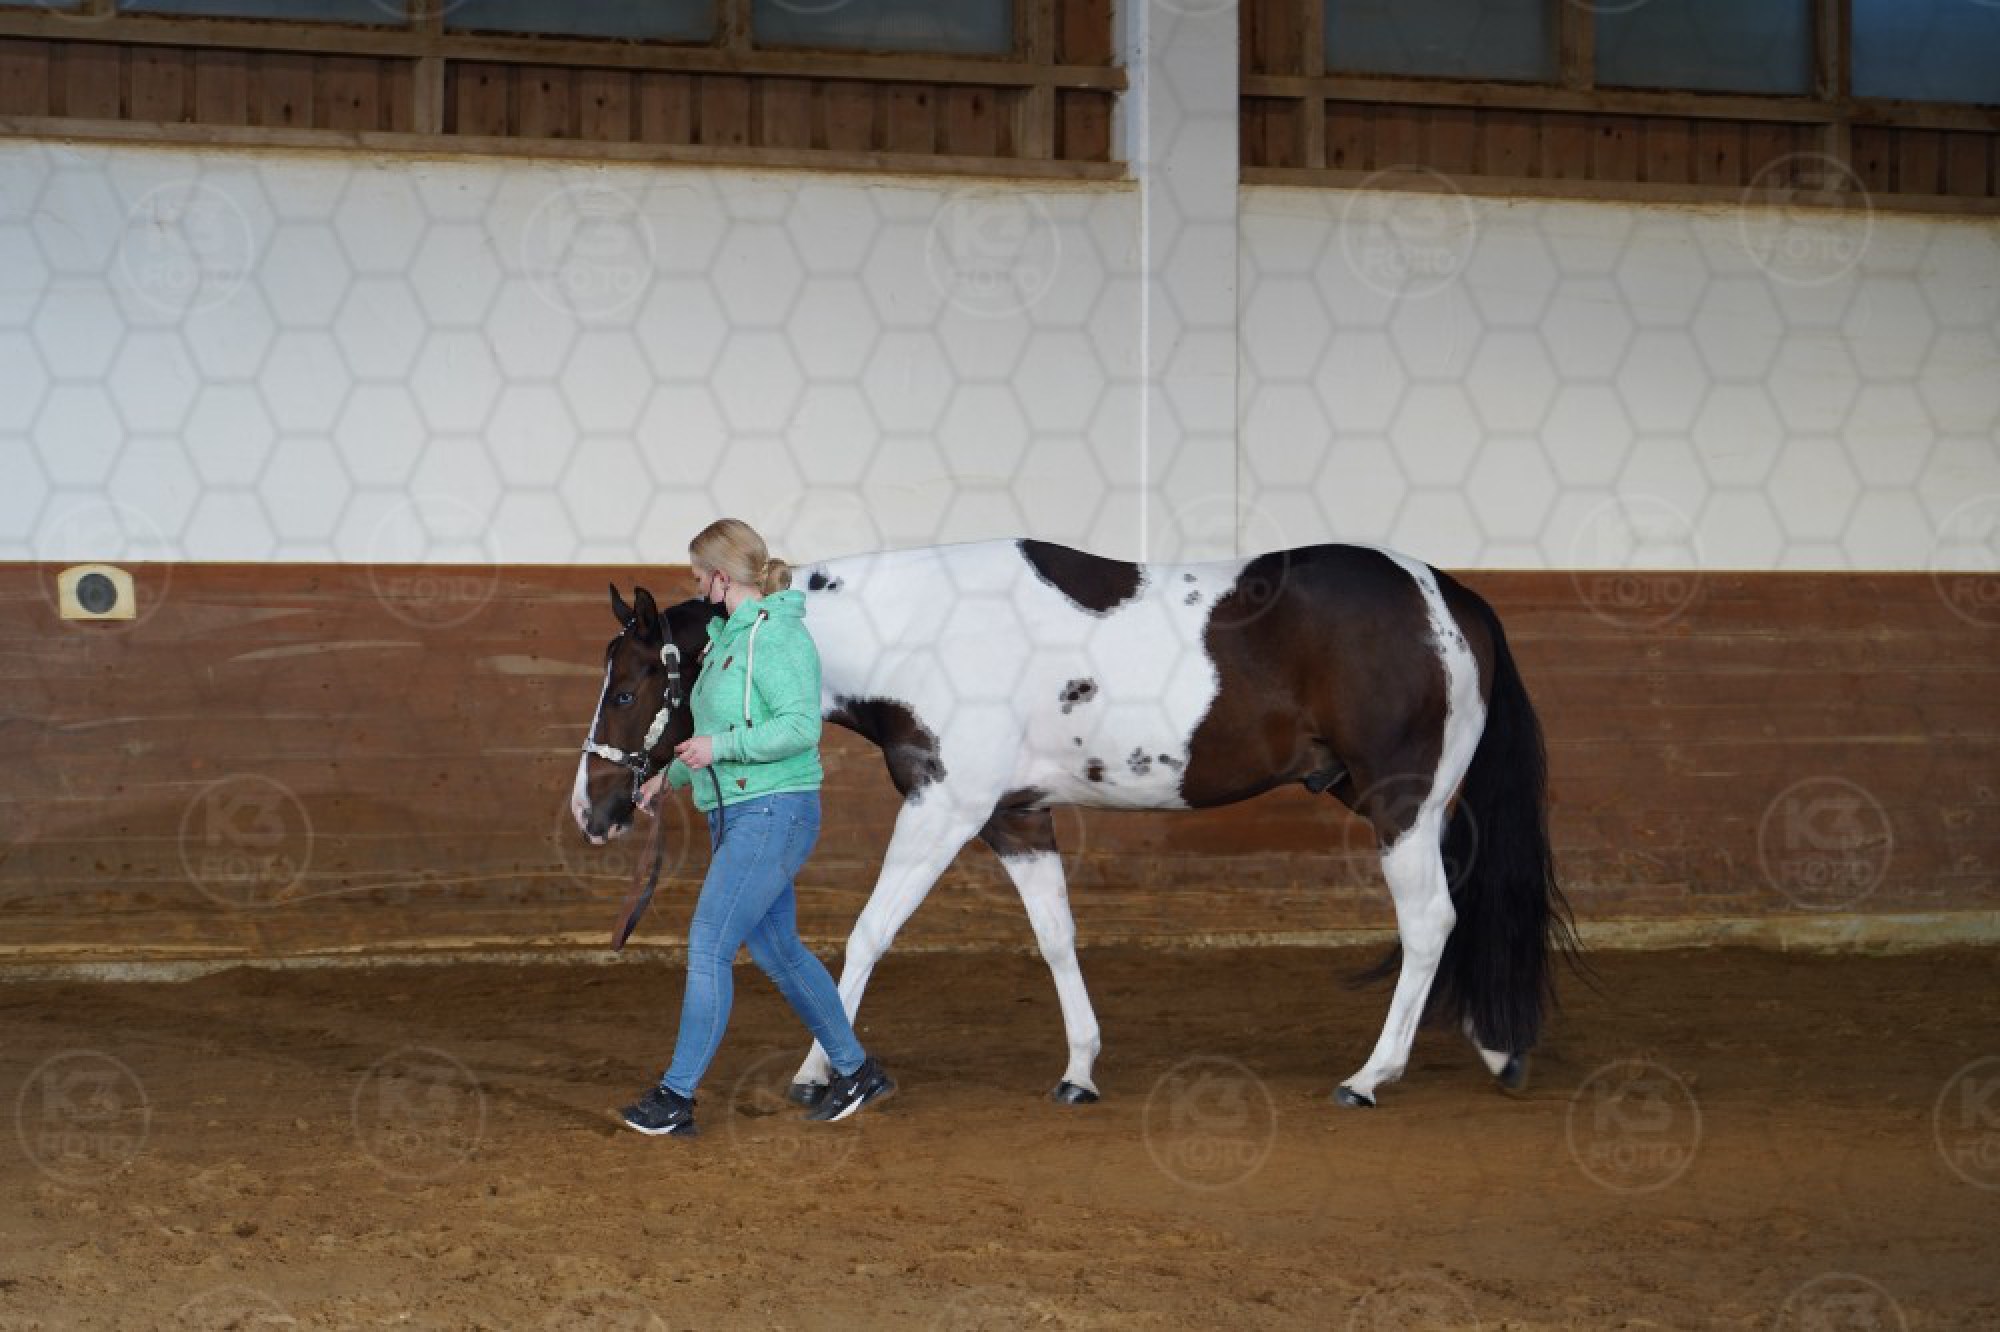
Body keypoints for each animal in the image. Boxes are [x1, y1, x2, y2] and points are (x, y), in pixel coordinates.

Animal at [571, 538, 1573, 1109]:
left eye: (626, 689)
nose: (594, 809)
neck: (921, 634)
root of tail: (1451, 597)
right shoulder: (1016, 820)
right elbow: (1056, 938)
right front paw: (1080, 1070)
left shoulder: (946, 806)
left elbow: (866, 934)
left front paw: (825, 1074)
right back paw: (1496, 1048)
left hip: (1402, 807)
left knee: (1431, 923)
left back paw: (1373, 1077)